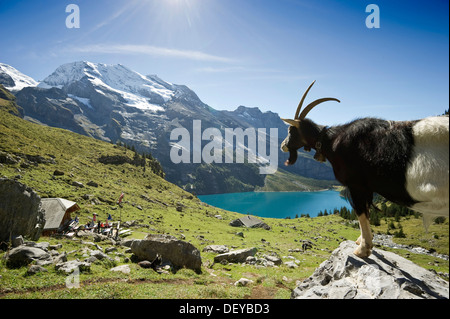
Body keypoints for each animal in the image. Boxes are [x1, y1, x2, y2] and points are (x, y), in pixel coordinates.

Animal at [282, 81, 450, 258]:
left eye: (291, 130)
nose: (283, 145)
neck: (333, 140)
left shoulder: (356, 185)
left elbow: (361, 213)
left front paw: (363, 249)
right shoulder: (366, 189)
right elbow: (367, 213)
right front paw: (361, 241)